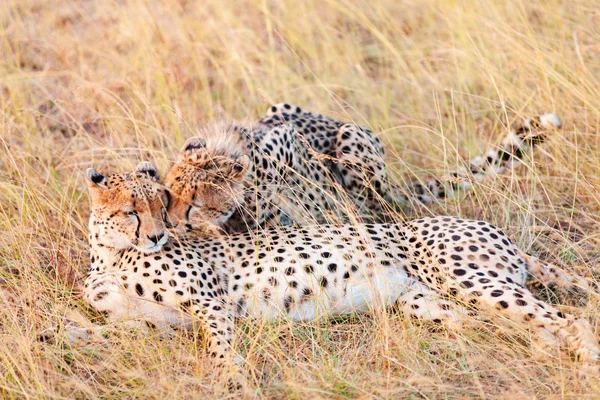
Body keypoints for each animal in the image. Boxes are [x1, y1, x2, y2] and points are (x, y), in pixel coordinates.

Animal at [76, 162, 600, 376]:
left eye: (161, 206)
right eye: (131, 211)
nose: (157, 236)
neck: (110, 255)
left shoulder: (213, 304)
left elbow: (222, 349)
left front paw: (233, 379)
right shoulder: (161, 321)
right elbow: (118, 328)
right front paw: (78, 334)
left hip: (467, 278)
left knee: (571, 318)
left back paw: (586, 362)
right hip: (429, 303)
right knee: (518, 327)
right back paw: (543, 351)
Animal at [165, 103, 564, 234]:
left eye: (194, 202)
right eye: (169, 198)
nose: (173, 224)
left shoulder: (284, 142)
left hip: (351, 138)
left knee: (373, 208)